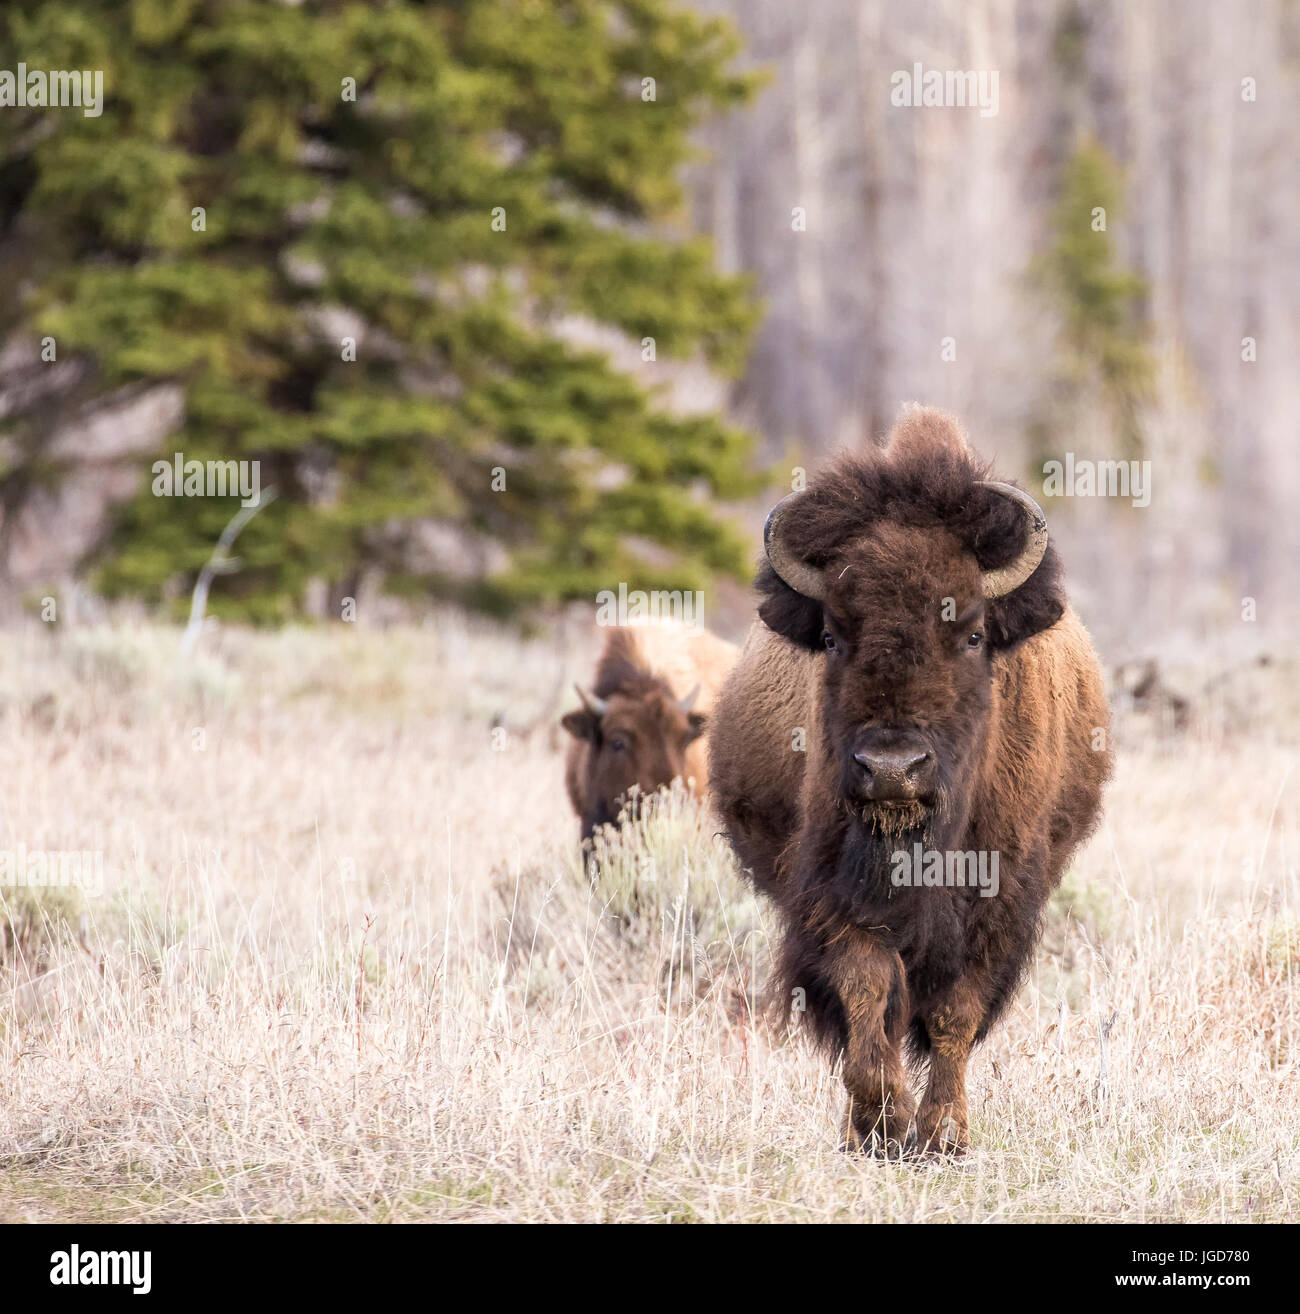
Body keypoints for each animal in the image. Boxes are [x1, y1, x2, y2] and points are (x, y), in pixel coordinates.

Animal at [704, 404, 1109, 1156]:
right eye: (832, 637)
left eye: (973, 635)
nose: (892, 769)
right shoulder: (832, 894)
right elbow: (869, 992)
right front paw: (880, 1124)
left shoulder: (998, 899)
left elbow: (954, 1013)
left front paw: (943, 1133)